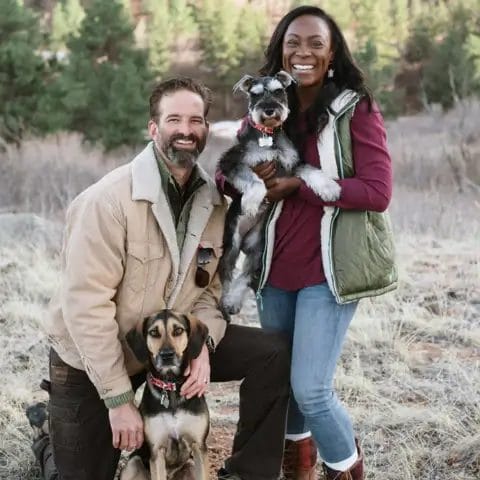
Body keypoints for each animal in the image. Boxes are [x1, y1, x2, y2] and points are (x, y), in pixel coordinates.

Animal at [120, 310, 210, 480]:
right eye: (154, 332)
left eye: (178, 330)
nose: (167, 355)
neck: (171, 386)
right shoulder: (157, 452)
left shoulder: (199, 446)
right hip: (132, 464)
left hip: (190, 464)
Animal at [217, 71, 341, 315]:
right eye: (255, 94)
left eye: (278, 91)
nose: (269, 110)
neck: (268, 138)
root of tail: (245, 239)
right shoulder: (232, 163)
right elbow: (256, 182)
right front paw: (252, 202)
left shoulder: (292, 164)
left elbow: (311, 170)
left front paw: (329, 188)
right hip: (232, 242)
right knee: (225, 273)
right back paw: (224, 300)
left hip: (259, 248)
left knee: (246, 274)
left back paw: (233, 301)